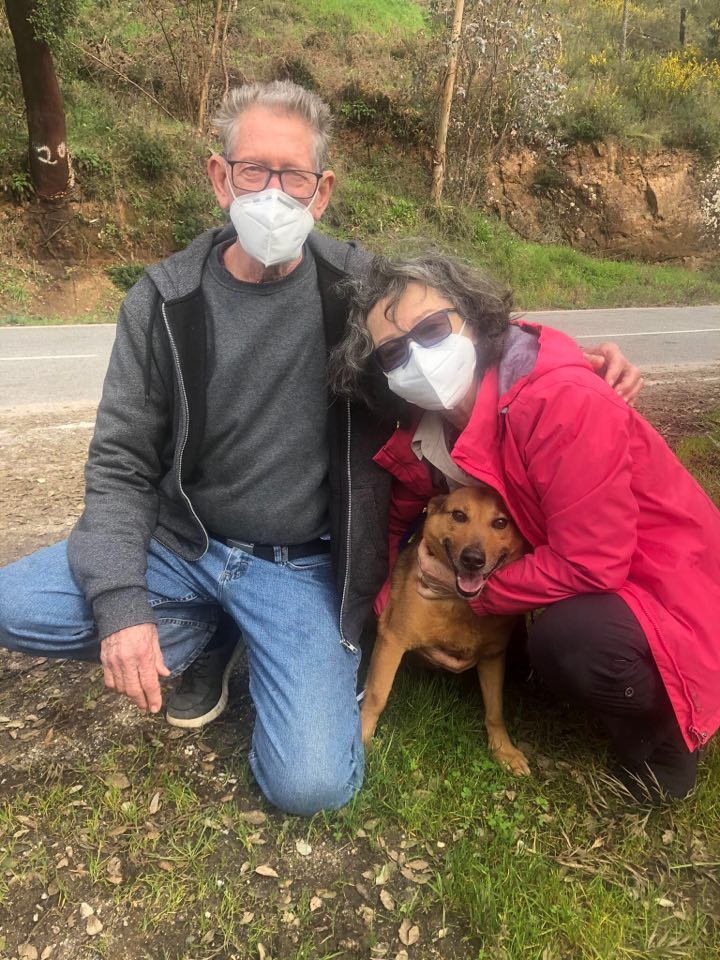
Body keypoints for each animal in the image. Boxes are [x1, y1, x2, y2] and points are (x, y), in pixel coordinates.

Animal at [361, 485, 530, 775]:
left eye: (500, 522)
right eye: (459, 515)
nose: (473, 559)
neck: (460, 604)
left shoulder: (493, 657)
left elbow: (495, 710)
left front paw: (503, 749)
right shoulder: (392, 640)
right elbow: (376, 696)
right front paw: (360, 740)